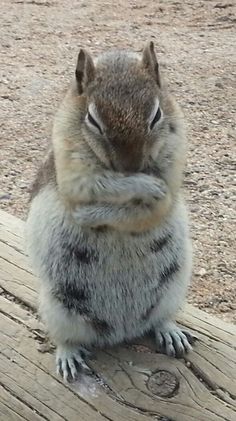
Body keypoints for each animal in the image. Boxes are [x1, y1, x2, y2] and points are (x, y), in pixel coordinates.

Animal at [25, 41, 195, 380]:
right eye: (92, 119)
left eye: (157, 114)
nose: (131, 165)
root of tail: (122, 330)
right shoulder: (71, 167)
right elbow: (98, 186)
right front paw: (142, 186)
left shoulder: (175, 158)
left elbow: (156, 207)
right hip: (56, 308)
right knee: (66, 337)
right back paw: (68, 356)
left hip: (174, 289)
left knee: (160, 318)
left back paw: (170, 331)